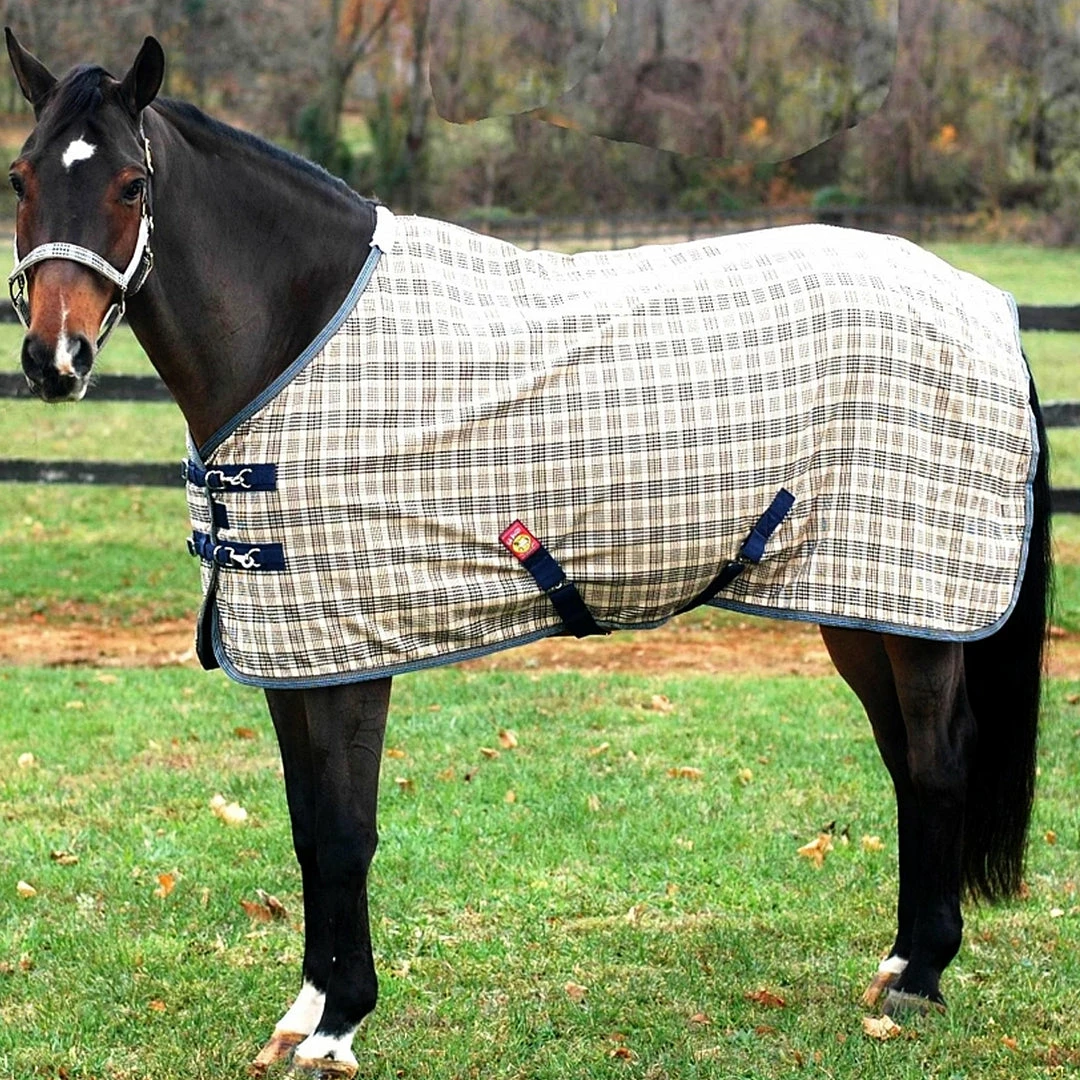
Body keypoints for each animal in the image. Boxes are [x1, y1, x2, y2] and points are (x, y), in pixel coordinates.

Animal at [5, 31, 1051, 1078]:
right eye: (20, 177)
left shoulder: (352, 656)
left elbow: (344, 835)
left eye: (132, 184)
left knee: (938, 762)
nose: (54, 360)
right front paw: (302, 1013)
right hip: (861, 605)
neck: (298, 333)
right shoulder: (298, 651)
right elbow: (307, 830)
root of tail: (988, 302)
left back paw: (921, 979)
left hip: (920, 609)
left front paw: (340, 1024)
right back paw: (901, 962)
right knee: (906, 764)